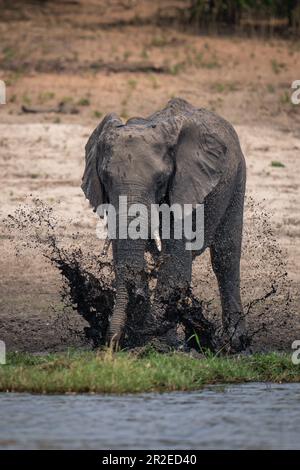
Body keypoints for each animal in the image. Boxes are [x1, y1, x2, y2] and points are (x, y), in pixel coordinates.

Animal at [81, 98, 246, 352]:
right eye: (105, 178)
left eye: (160, 179)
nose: (111, 343)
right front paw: (144, 337)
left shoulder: (184, 184)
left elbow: (176, 259)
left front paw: (159, 344)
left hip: (238, 177)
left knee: (225, 256)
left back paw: (234, 344)